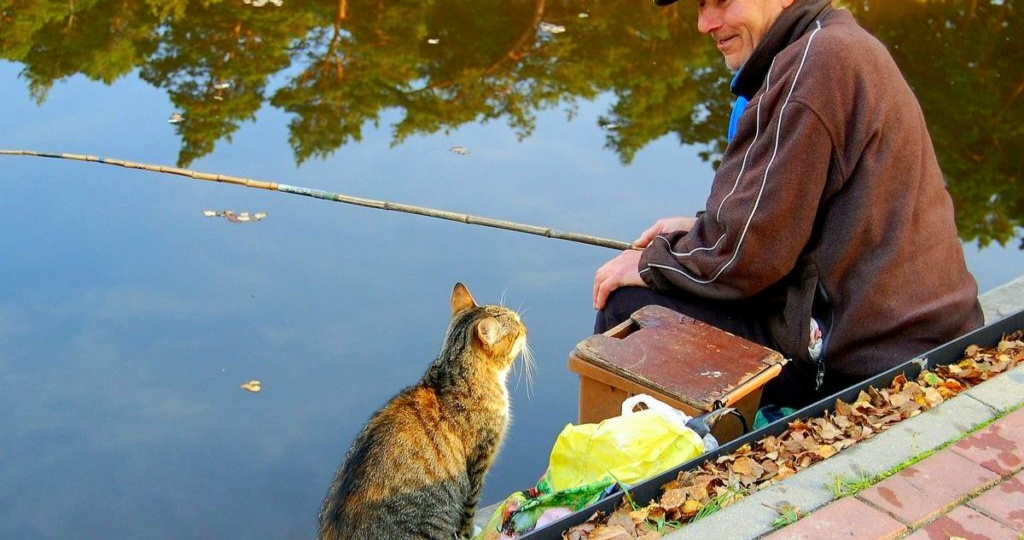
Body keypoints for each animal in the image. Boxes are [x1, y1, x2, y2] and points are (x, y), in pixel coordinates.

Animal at [317, 284, 528, 536]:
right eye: (516, 328)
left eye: (518, 320)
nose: (526, 328)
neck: (452, 374)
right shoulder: (478, 464)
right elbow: (468, 514)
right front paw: (472, 532)